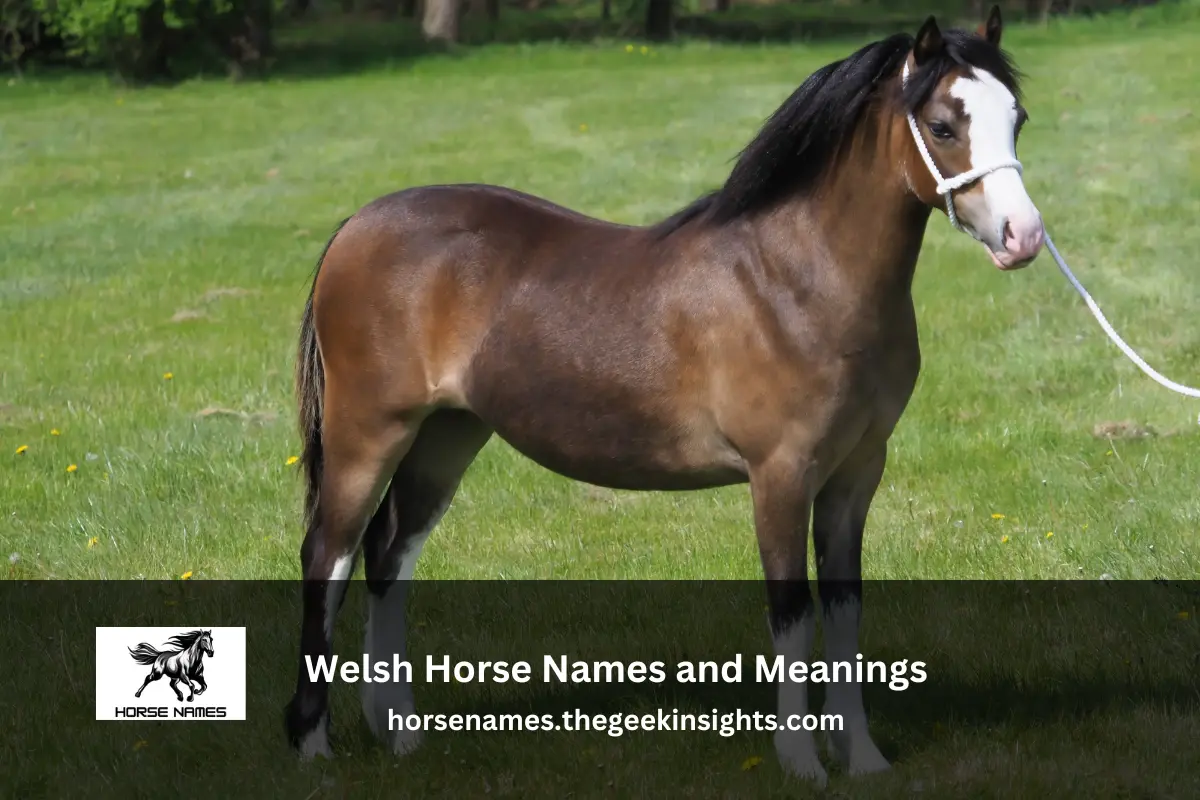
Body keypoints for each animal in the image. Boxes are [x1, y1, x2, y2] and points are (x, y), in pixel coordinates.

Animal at [283, 6, 1044, 784]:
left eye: (1016, 117)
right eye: (943, 125)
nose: (1023, 236)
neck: (797, 278)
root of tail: (355, 226)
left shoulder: (855, 475)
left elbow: (844, 610)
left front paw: (861, 757)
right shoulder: (781, 475)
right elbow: (792, 611)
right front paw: (802, 762)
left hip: (447, 434)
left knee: (389, 557)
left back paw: (400, 733)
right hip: (369, 433)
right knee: (329, 557)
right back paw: (313, 743)